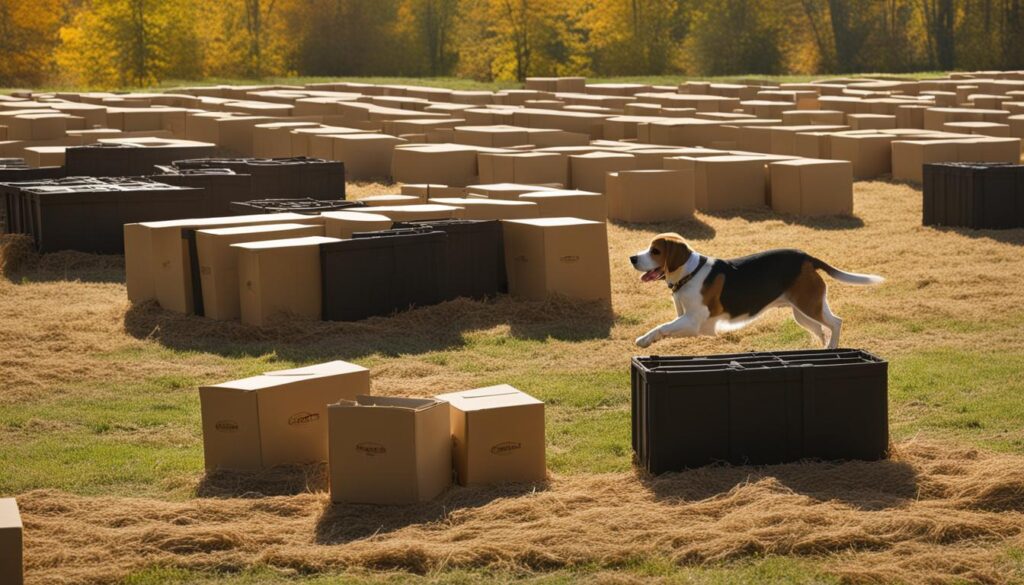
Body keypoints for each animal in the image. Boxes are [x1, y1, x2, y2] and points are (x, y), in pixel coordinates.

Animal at [630, 233, 880, 350]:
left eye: (655, 251)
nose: (632, 258)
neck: (689, 274)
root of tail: (807, 257)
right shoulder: (684, 320)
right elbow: (665, 328)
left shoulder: (692, 323)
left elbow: (662, 327)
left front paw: (643, 340)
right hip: (803, 313)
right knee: (821, 329)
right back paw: (823, 349)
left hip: (810, 306)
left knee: (836, 323)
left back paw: (832, 347)